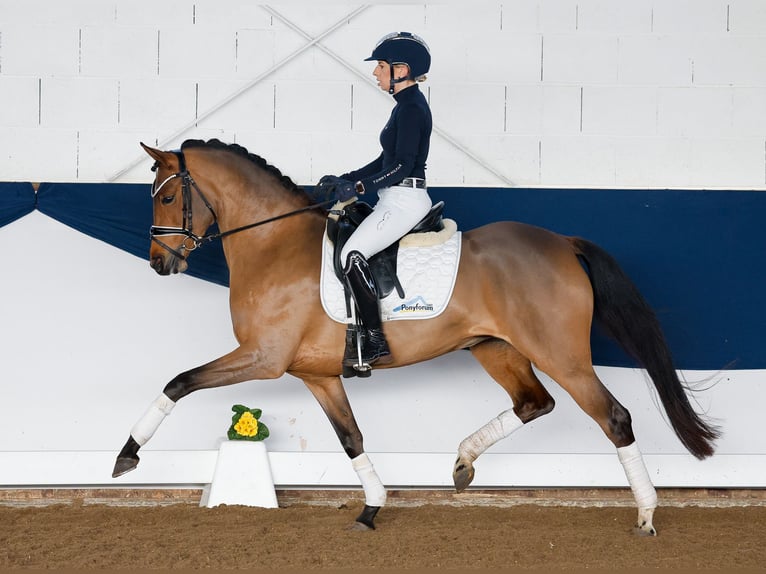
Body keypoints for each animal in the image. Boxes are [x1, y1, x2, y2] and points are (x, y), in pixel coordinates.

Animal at [112, 138, 720, 536]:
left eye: (167, 197)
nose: (160, 263)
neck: (273, 243)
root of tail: (562, 242)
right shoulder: (316, 373)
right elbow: (351, 438)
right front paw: (372, 509)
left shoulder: (263, 358)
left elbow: (179, 381)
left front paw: (127, 456)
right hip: (495, 349)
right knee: (534, 403)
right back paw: (462, 463)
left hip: (561, 354)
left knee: (613, 416)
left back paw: (646, 515)